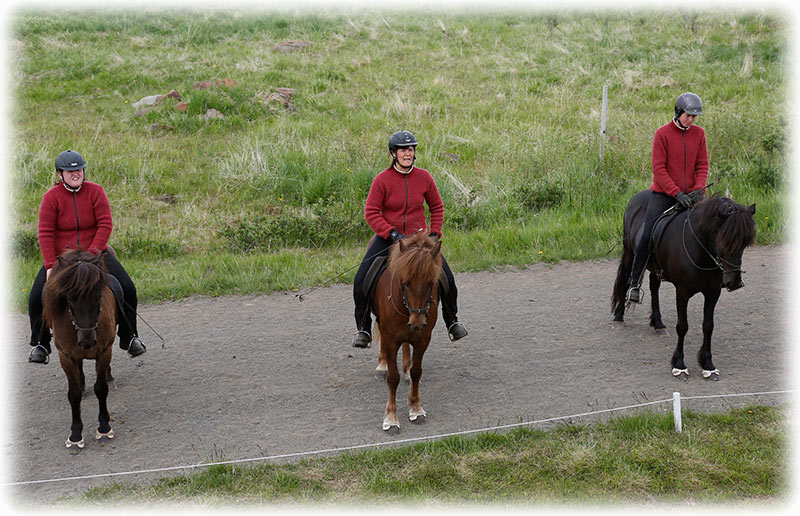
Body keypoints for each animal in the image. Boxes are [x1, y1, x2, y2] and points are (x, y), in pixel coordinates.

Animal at [42, 248, 117, 454]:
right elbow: (74, 394)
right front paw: (75, 435)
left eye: (98, 296)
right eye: (69, 298)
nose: (87, 342)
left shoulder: (104, 352)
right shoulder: (66, 356)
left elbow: (101, 389)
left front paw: (104, 427)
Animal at [370, 232, 444, 434]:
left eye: (431, 283)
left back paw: (406, 367)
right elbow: (392, 378)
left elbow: (417, 372)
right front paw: (391, 418)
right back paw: (382, 365)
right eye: (405, 282)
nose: (417, 322)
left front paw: (416, 409)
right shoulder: (390, 339)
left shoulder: (423, 339)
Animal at [612, 191, 756, 380]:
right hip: (630, 253)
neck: (701, 250)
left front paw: (708, 364)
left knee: (654, 286)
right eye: (724, 241)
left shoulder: (713, 293)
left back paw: (658, 323)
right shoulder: (682, 292)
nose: (734, 281)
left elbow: (708, 326)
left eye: (745, 243)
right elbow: (682, 326)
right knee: (625, 280)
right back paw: (619, 317)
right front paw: (679, 365)